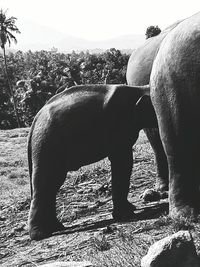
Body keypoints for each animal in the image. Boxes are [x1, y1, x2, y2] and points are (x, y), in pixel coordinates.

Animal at [27, 83, 154, 241]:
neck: (139, 89)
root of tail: (35, 121)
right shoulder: (118, 127)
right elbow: (123, 160)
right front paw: (127, 215)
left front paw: (131, 209)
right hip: (47, 144)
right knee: (47, 181)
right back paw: (40, 234)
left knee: (52, 184)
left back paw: (56, 227)